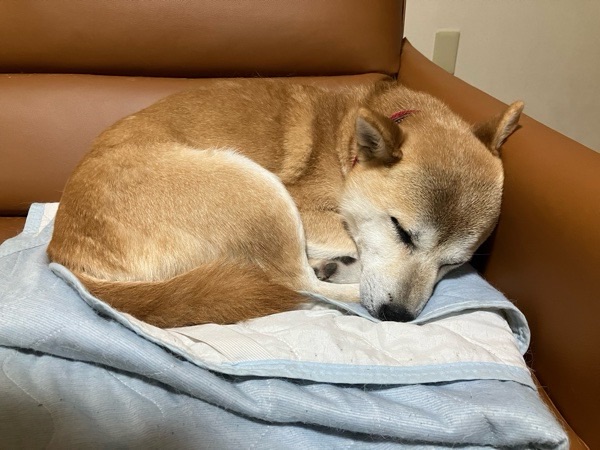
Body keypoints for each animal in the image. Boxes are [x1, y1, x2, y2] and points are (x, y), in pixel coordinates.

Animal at [47, 79, 523, 327]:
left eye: (454, 264)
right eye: (402, 231)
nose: (397, 315)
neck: (348, 142)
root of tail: (62, 254)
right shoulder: (306, 206)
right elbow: (351, 241)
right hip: (257, 188)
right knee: (297, 284)